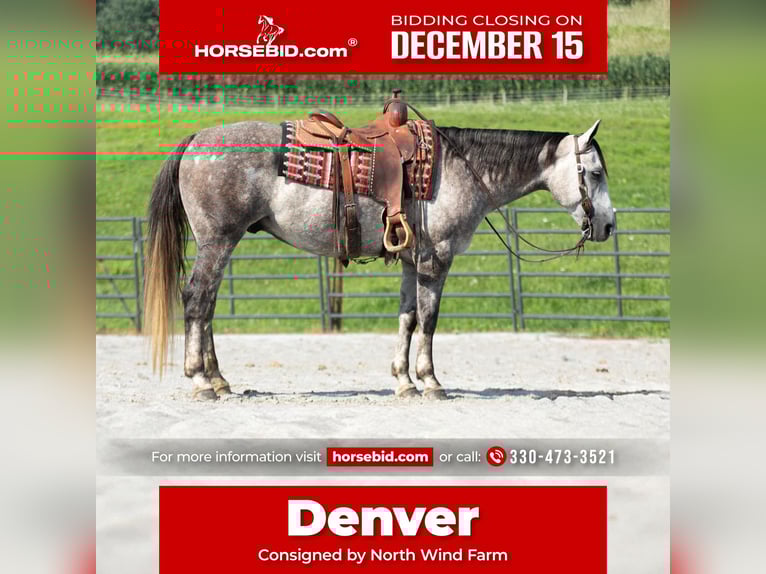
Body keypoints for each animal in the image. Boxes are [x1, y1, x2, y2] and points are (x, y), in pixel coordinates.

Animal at [143, 118, 614, 401]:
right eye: (594, 173)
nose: (608, 225)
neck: (462, 169)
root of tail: (196, 140)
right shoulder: (435, 261)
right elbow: (429, 320)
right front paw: (431, 382)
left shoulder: (410, 261)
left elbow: (407, 318)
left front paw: (404, 382)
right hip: (217, 241)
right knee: (197, 300)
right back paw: (201, 381)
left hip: (220, 244)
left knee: (207, 307)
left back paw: (219, 380)